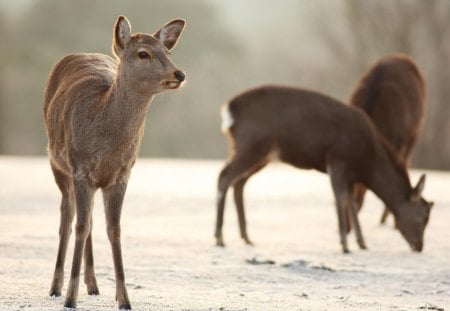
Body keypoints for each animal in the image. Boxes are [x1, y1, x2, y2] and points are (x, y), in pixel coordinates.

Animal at [44, 15, 186, 310]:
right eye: (143, 53)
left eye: (168, 52)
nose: (179, 74)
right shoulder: (81, 170)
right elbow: (80, 226)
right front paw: (70, 298)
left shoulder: (122, 174)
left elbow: (115, 229)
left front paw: (125, 299)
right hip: (56, 163)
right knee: (68, 217)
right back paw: (56, 287)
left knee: (87, 220)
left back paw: (93, 284)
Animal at [214, 84, 432, 254]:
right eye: (422, 217)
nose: (419, 246)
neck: (366, 161)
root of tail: (229, 109)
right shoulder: (337, 159)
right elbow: (340, 198)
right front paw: (345, 245)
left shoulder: (349, 174)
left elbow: (351, 202)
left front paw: (362, 243)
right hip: (252, 144)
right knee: (224, 177)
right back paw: (219, 238)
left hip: (261, 154)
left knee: (238, 183)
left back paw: (246, 237)